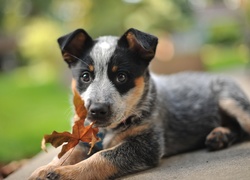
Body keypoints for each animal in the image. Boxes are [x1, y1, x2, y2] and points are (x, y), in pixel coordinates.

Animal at [29, 28, 250, 180]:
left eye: (121, 76)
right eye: (85, 76)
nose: (96, 111)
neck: (107, 131)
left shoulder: (146, 145)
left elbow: (103, 157)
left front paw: (64, 173)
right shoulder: (83, 138)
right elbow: (66, 152)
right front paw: (44, 169)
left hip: (230, 99)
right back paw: (219, 136)